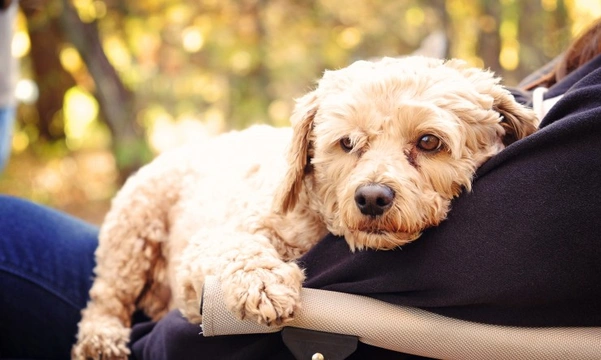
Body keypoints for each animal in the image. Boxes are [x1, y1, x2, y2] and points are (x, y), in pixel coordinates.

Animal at [72, 55, 536, 358]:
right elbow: (235, 248)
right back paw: (100, 338)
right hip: (132, 231)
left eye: (428, 142)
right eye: (347, 142)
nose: (371, 197)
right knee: (105, 297)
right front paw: (263, 283)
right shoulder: (197, 266)